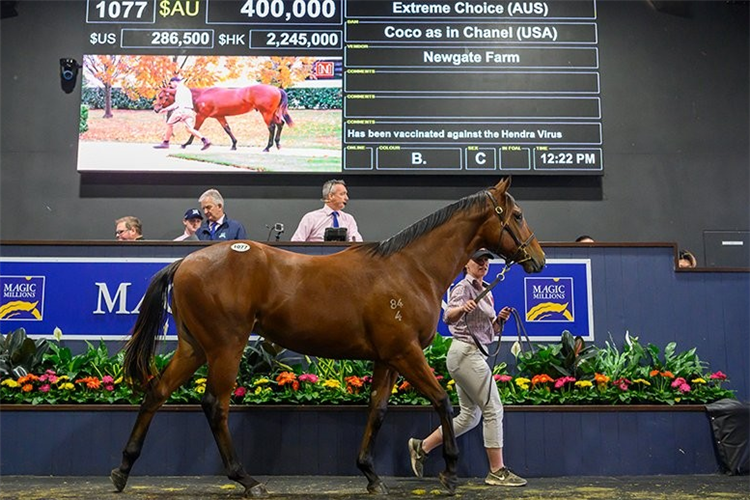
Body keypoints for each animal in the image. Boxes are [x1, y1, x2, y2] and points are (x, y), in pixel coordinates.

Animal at [110, 177, 545, 497]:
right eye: (518, 214)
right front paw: (449, 472)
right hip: (224, 348)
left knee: (156, 393)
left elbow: (377, 410)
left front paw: (371, 475)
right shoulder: (405, 353)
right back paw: (247, 480)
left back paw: (123, 469)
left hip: (194, 348)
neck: (410, 269)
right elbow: (441, 399)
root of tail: (185, 262)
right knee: (215, 406)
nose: (538, 259)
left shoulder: (387, 358)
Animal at [153, 84, 293, 152]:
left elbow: (195, 130)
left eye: (161, 96)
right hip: (273, 113)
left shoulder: (201, 116)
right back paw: (278, 144)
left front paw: (186, 144)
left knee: (272, 127)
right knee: (280, 124)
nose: (156, 109)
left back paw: (267, 147)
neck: (201, 95)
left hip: (266, 113)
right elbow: (227, 129)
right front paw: (234, 145)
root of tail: (277, 89)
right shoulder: (220, 116)